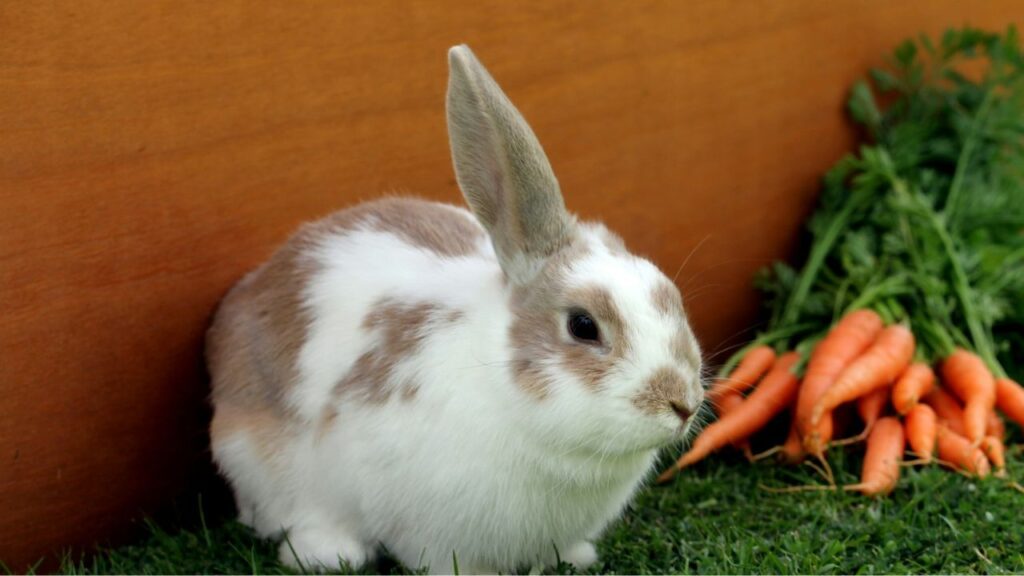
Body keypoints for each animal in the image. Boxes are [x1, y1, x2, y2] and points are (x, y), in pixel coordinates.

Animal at [206, 44, 704, 574]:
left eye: (669, 294)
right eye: (583, 326)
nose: (683, 403)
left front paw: (578, 556)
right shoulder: (430, 531)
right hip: (256, 460)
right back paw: (328, 551)